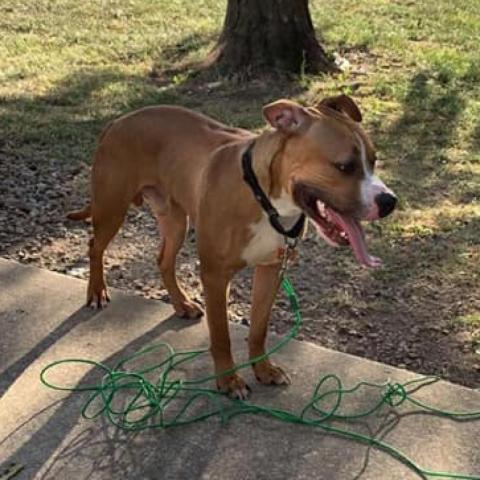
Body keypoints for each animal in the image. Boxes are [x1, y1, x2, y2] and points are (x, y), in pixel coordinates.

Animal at [67, 94, 398, 398]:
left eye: (373, 160)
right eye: (345, 166)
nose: (389, 201)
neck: (265, 198)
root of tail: (117, 121)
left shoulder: (271, 269)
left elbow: (259, 329)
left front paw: (263, 369)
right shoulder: (215, 276)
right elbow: (221, 335)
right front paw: (228, 380)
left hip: (175, 221)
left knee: (163, 260)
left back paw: (181, 303)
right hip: (112, 207)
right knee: (95, 245)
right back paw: (96, 291)